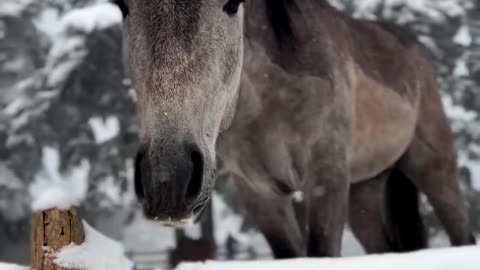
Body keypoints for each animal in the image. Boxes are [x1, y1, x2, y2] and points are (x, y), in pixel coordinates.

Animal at [113, 0, 476, 258]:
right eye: (123, 5)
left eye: (232, 3)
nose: (168, 180)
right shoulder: (260, 193)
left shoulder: (325, 178)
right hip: (365, 191)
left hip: (434, 172)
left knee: (462, 234)